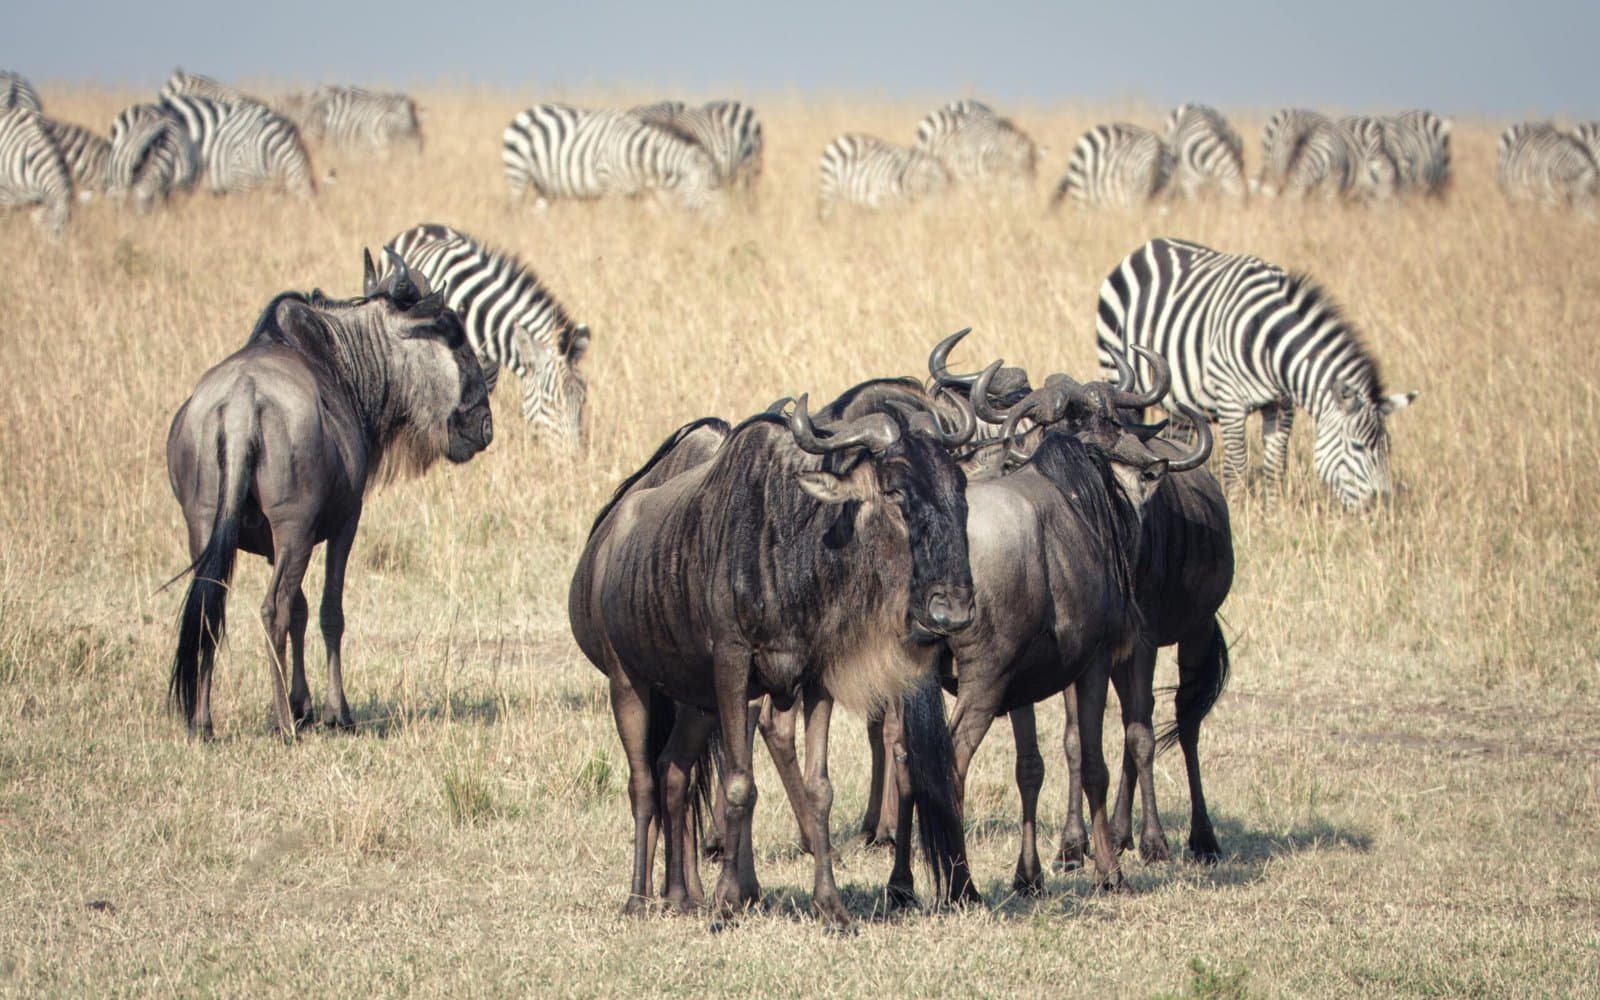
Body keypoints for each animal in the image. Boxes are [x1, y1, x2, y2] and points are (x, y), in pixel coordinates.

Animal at [501, 103, 724, 212]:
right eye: (711, 186)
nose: (724, 220)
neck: (637, 156)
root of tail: (527, 111)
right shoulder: (611, 188)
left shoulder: (637, 193)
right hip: (517, 173)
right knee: (513, 210)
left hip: (544, 186)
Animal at [817, 133, 950, 218]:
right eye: (931, 180)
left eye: (944, 183)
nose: (940, 213)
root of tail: (841, 138)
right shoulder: (880, 199)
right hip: (829, 188)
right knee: (826, 214)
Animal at [1095, 237, 1415, 508]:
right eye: (1358, 447)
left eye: (1388, 448)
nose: (1381, 506)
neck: (1270, 345)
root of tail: (1149, 245)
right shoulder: (1231, 400)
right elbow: (1237, 462)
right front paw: (1237, 508)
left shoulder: (1282, 405)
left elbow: (1275, 462)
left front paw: (1272, 513)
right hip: (1113, 366)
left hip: (1181, 406)